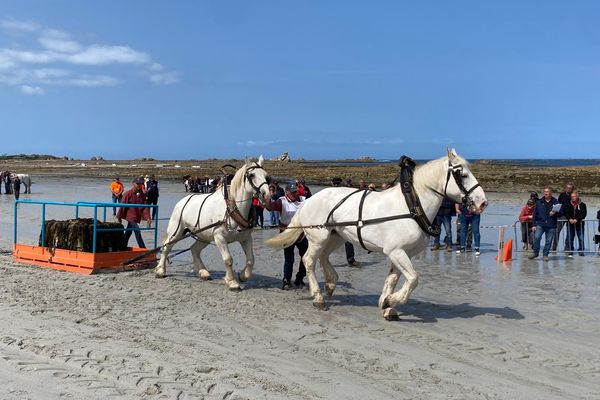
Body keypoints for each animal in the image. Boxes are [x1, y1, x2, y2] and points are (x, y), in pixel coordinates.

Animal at [154, 155, 270, 290]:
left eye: (267, 176)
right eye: (251, 175)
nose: (267, 195)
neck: (232, 208)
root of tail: (181, 201)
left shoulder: (245, 238)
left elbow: (251, 259)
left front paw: (243, 276)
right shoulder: (219, 237)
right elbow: (228, 259)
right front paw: (231, 281)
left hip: (203, 236)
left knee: (194, 249)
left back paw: (202, 272)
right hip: (177, 231)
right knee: (167, 246)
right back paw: (161, 270)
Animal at [268, 148, 488, 320]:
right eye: (462, 174)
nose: (482, 202)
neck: (412, 206)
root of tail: (307, 200)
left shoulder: (401, 253)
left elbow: (393, 279)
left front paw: (387, 304)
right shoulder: (396, 251)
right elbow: (413, 278)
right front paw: (392, 300)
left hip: (335, 236)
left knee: (323, 257)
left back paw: (330, 283)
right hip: (318, 237)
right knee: (309, 260)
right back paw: (318, 296)